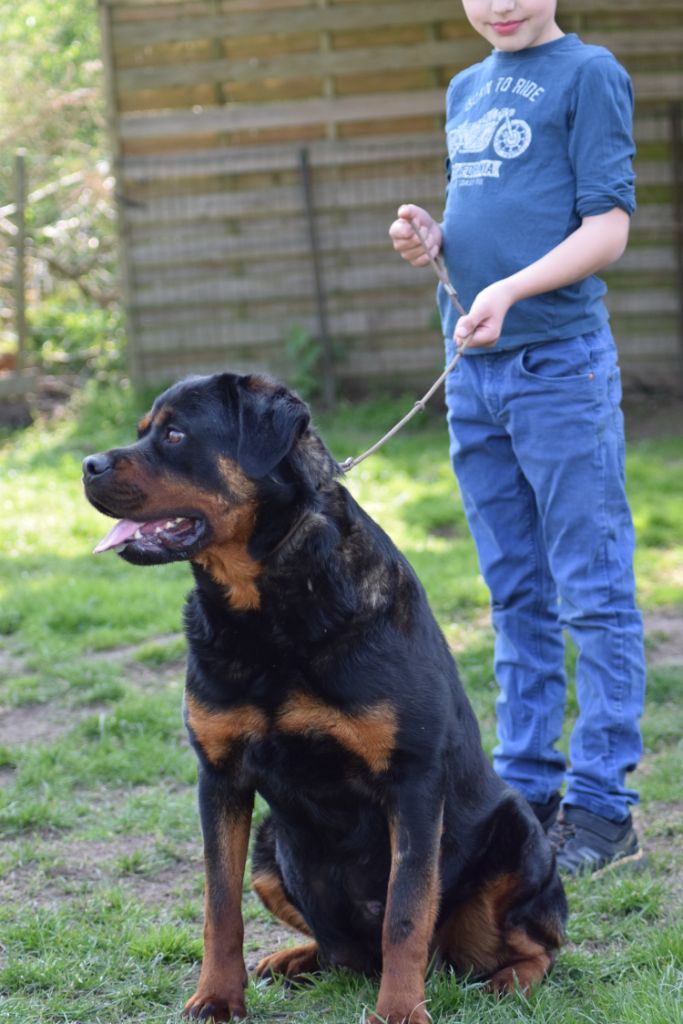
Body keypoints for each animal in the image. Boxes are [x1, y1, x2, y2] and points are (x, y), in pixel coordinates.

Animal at [82, 372, 567, 1024]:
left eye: (175, 434)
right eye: (142, 432)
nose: (87, 465)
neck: (266, 611)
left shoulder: (413, 782)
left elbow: (406, 913)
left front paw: (399, 1013)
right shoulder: (220, 775)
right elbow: (219, 906)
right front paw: (217, 997)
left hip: (517, 836)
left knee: (533, 945)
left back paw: (508, 982)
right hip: (271, 850)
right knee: (339, 952)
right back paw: (291, 959)